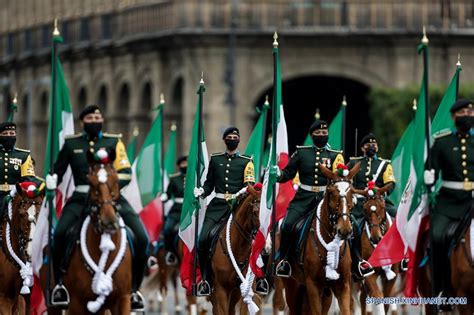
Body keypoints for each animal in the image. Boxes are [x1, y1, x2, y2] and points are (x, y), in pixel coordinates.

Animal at [282, 164, 360, 314]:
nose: (345, 230)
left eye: (352, 193)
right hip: (293, 287)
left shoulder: (343, 285)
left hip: (325, 294)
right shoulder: (312, 286)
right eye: (331, 192)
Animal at [354, 184, 398, 314]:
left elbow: (386, 300)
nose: (375, 238)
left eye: (382, 207)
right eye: (364, 209)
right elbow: (378, 296)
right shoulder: (368, 272)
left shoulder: (392, 275)